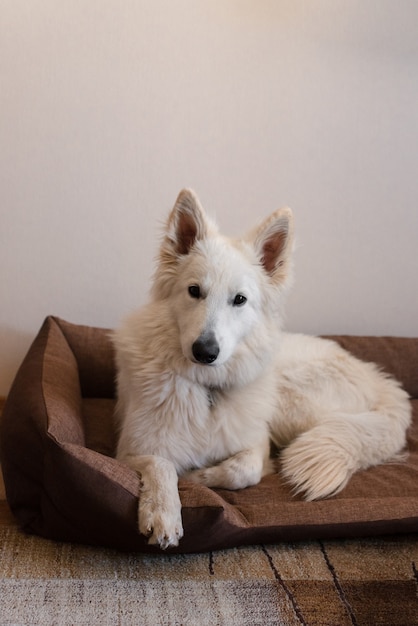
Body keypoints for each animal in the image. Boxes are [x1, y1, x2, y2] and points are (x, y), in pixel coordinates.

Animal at [114, 189, 412, 544]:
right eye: (194, 291)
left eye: (239, 300)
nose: (205, 351)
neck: (208, 389)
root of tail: (381, 381)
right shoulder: (130, 449)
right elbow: (163, 466)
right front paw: (163, 512)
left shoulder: (257, 442)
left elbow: (246, 470)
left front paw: (200, 476)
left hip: (290, 401)